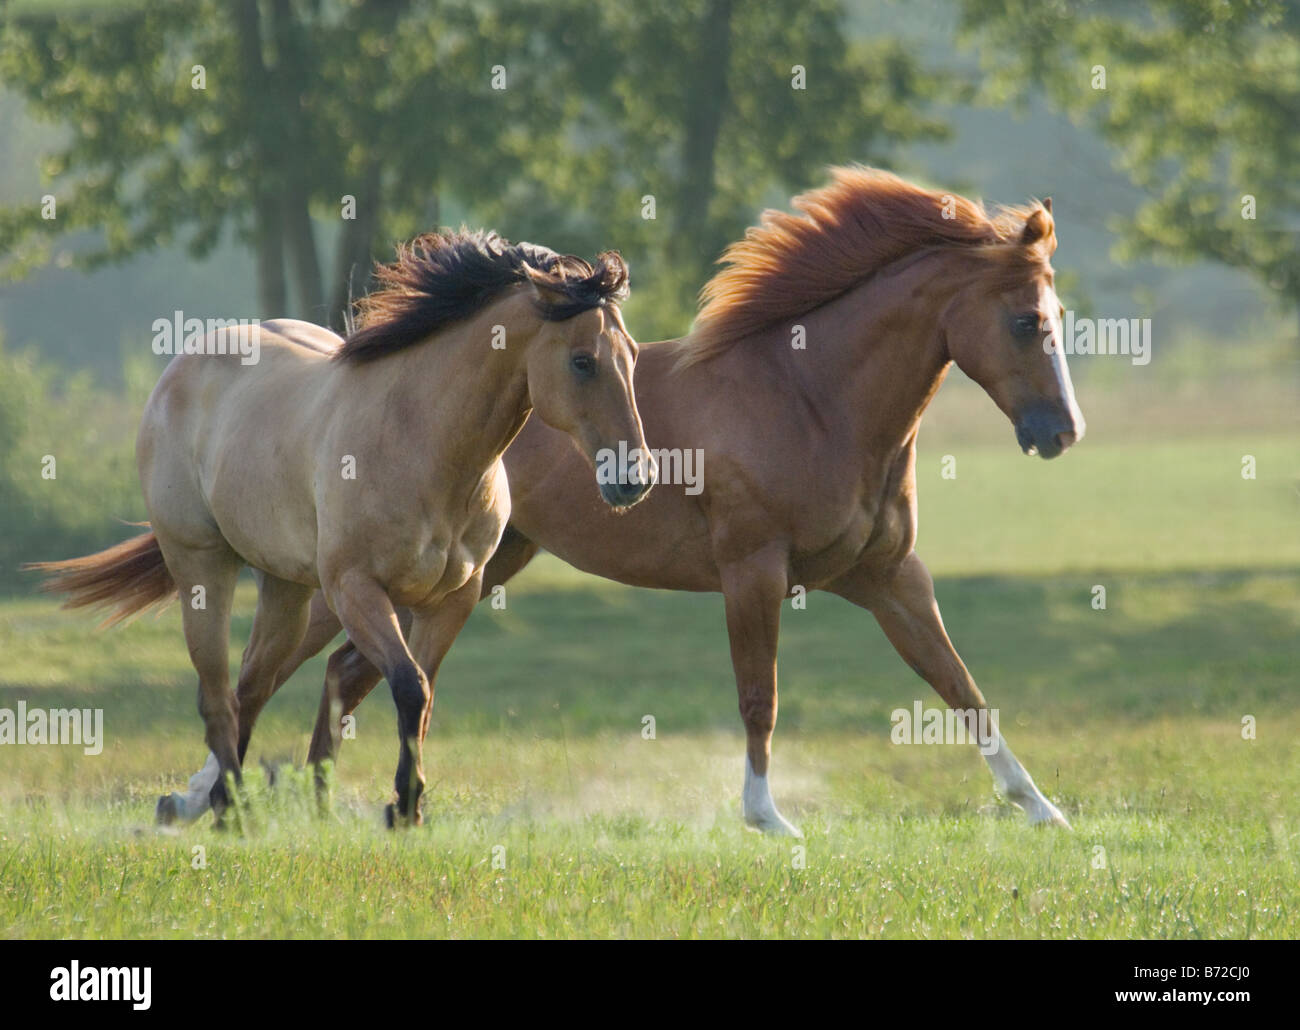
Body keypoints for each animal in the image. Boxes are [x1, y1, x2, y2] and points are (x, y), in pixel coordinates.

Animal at [31, 228, 655, 827]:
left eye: (632, 356)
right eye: (582, 361)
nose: (636, 477)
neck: (422, 442)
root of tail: (179, 370)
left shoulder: (452, 599)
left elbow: (421, 697)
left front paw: (407, 809)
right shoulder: (356, 588)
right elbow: (408, 686)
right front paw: (404, 804)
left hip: (288, 590)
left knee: (253, 687)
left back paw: (229, 805)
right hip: (203, 566)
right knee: (217, 695)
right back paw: (234, 815)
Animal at [175, 166, 1086, 827]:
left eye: (1055, 316)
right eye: (1025, 322)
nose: (1062, 431)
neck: (810, 398)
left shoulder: (890, 578)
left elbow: (962, 688)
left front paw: (1043, 810)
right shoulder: (753, 570)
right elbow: (760, 696)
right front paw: (765, 817)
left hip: (473, 571)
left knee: (342, 672)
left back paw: (312, 796)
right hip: (347, 579)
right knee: (270, 673)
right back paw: (198, 797)